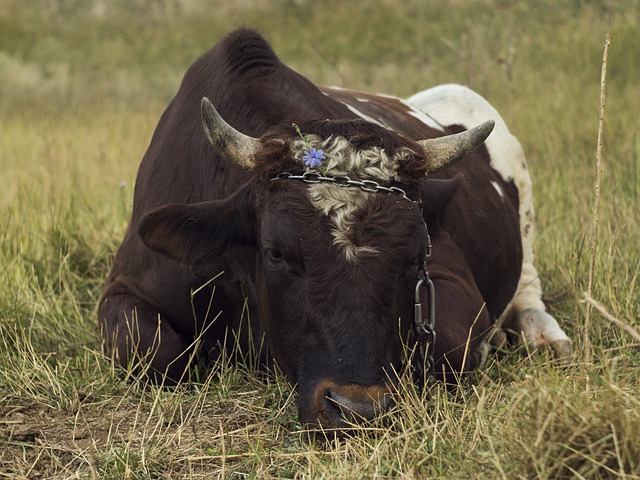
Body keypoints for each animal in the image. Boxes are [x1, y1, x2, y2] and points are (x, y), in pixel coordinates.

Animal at [99, 29, 568, 432]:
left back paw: (544, 337)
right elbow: (147, 349)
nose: (358, 408)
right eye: (275, 251)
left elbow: (451, 345)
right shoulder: (127, 286)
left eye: (415, 256)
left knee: (528, 291)